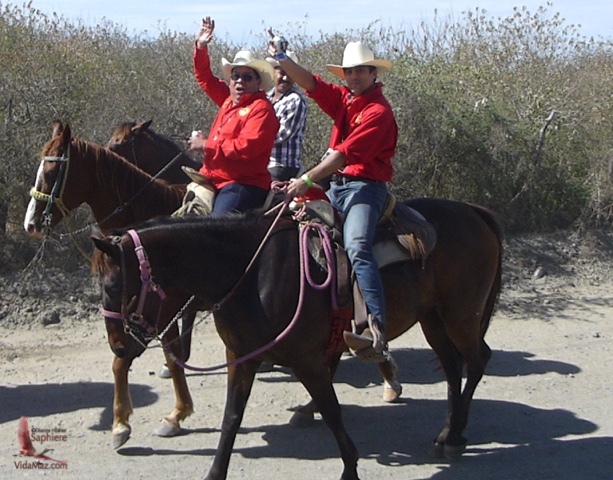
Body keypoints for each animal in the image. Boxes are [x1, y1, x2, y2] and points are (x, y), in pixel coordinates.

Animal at [23, 120, 197, 447]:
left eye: (51, 173)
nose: (31, 223)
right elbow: (129, 358)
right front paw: (122, 422)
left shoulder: (161, 310)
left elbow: (164, 354)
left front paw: (174, 414)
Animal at [92, 198, 503, 479]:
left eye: (112, 286)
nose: (118, 346)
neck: (251, 271)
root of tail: (475, 212)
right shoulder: (242, 356)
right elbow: (231, 418)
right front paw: (213, 470)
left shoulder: (307, 360)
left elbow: (334, 412)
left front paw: (350, 468)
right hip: (433, 318)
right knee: (452, 365)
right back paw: (448, 432)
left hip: (460, 315)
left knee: (476, 359)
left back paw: (454, 436)